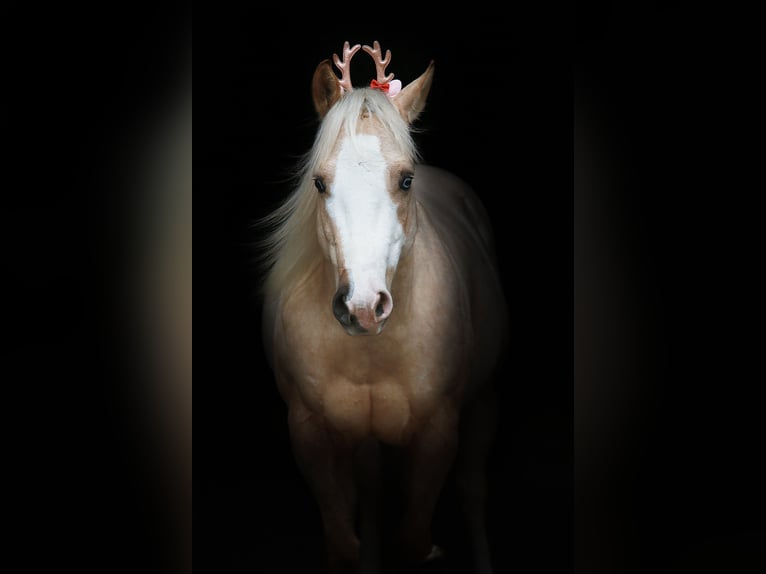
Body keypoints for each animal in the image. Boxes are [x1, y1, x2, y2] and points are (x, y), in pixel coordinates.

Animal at [258, 41, 509, 574]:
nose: (363, 307)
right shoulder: (308, 433)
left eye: (406, 180)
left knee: (474, 493)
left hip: (483, 403)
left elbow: (414, 537)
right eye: (318, 183)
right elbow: (344, 543)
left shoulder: (439, 431)